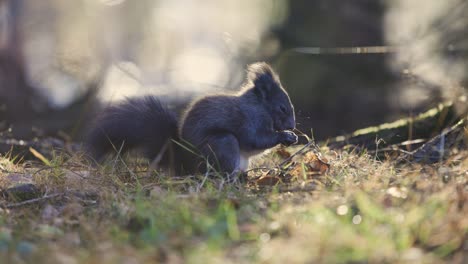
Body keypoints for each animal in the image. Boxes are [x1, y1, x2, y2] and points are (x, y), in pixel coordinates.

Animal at [86, 62, 298, 175]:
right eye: (282, 108)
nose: (293, 126)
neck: (260, 107)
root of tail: (185, 165)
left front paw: (291, 137)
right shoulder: (249, 120)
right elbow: (254, 140)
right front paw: (285, 136)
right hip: (222, 144)